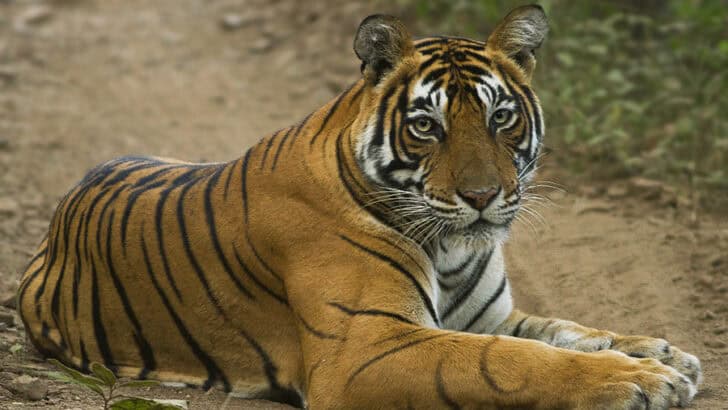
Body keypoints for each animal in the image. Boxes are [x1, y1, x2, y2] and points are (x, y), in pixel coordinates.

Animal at [17, 5, 701, 409]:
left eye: (500, 117)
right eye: (427, 126)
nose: (483, 197)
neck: (450, 248)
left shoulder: (486, 316)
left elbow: (563, 328)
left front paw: (659, 353)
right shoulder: (365, 347)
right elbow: (509, 360)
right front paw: (638, 380)